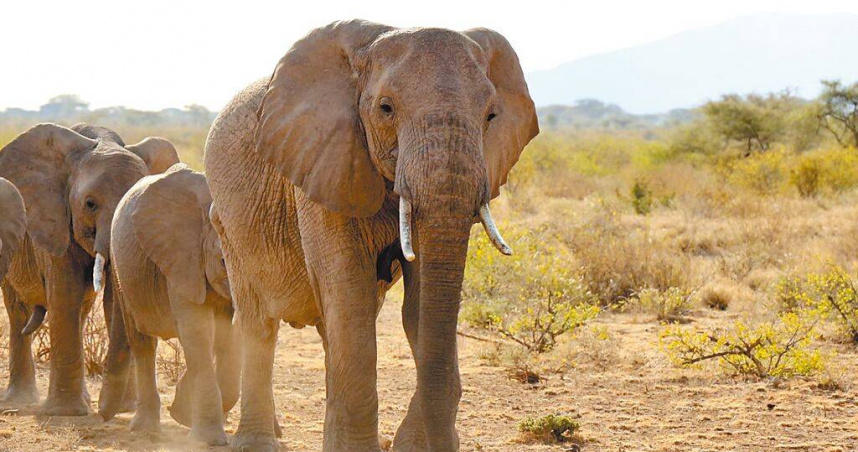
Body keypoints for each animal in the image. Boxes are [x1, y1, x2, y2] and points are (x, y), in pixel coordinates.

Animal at [0, 122, 179, 414]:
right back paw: (21, 400)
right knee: (18, 311)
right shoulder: (57, 223)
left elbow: (112, 301)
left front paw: (125, 408)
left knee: (82, 311)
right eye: (90, 204)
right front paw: (67, 413)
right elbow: (66, 296)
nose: (106, 412)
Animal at [100, 163, 237, 444]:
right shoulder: (179, 258)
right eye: (222, 261)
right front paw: (208, 439)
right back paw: (144, 427)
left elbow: (223, 336)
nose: (101, 415)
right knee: (142, 343)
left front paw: (184, 416)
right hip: (123, 270)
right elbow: (196, 330)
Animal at [203, 19, 536, 450]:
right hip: (228, 227)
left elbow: (417, 307)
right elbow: (348, 292)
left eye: (492, 115)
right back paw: (257, 443)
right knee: (260, 324)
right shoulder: (323, 159)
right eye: (385, 108)